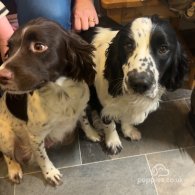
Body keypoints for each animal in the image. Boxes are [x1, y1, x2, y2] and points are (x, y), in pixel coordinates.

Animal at [0, 18, 99, 186]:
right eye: (10, 47)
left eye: (39, 46)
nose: (0, 75)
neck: (62, 94)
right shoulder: (35, 136)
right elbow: (42, 156)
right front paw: (50, 173)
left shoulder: (81, 108)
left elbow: (85, 123)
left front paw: (92, 134)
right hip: (5, 136)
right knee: (8, 155)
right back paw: (14, 169)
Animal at [80, 15, 187, 154]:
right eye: (128, 45)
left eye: (163, 49)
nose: (140, 83)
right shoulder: (103, 103)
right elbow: (109, 123)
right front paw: (113, 141)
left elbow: (126, 117)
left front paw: (128, 130)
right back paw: (92, 133)